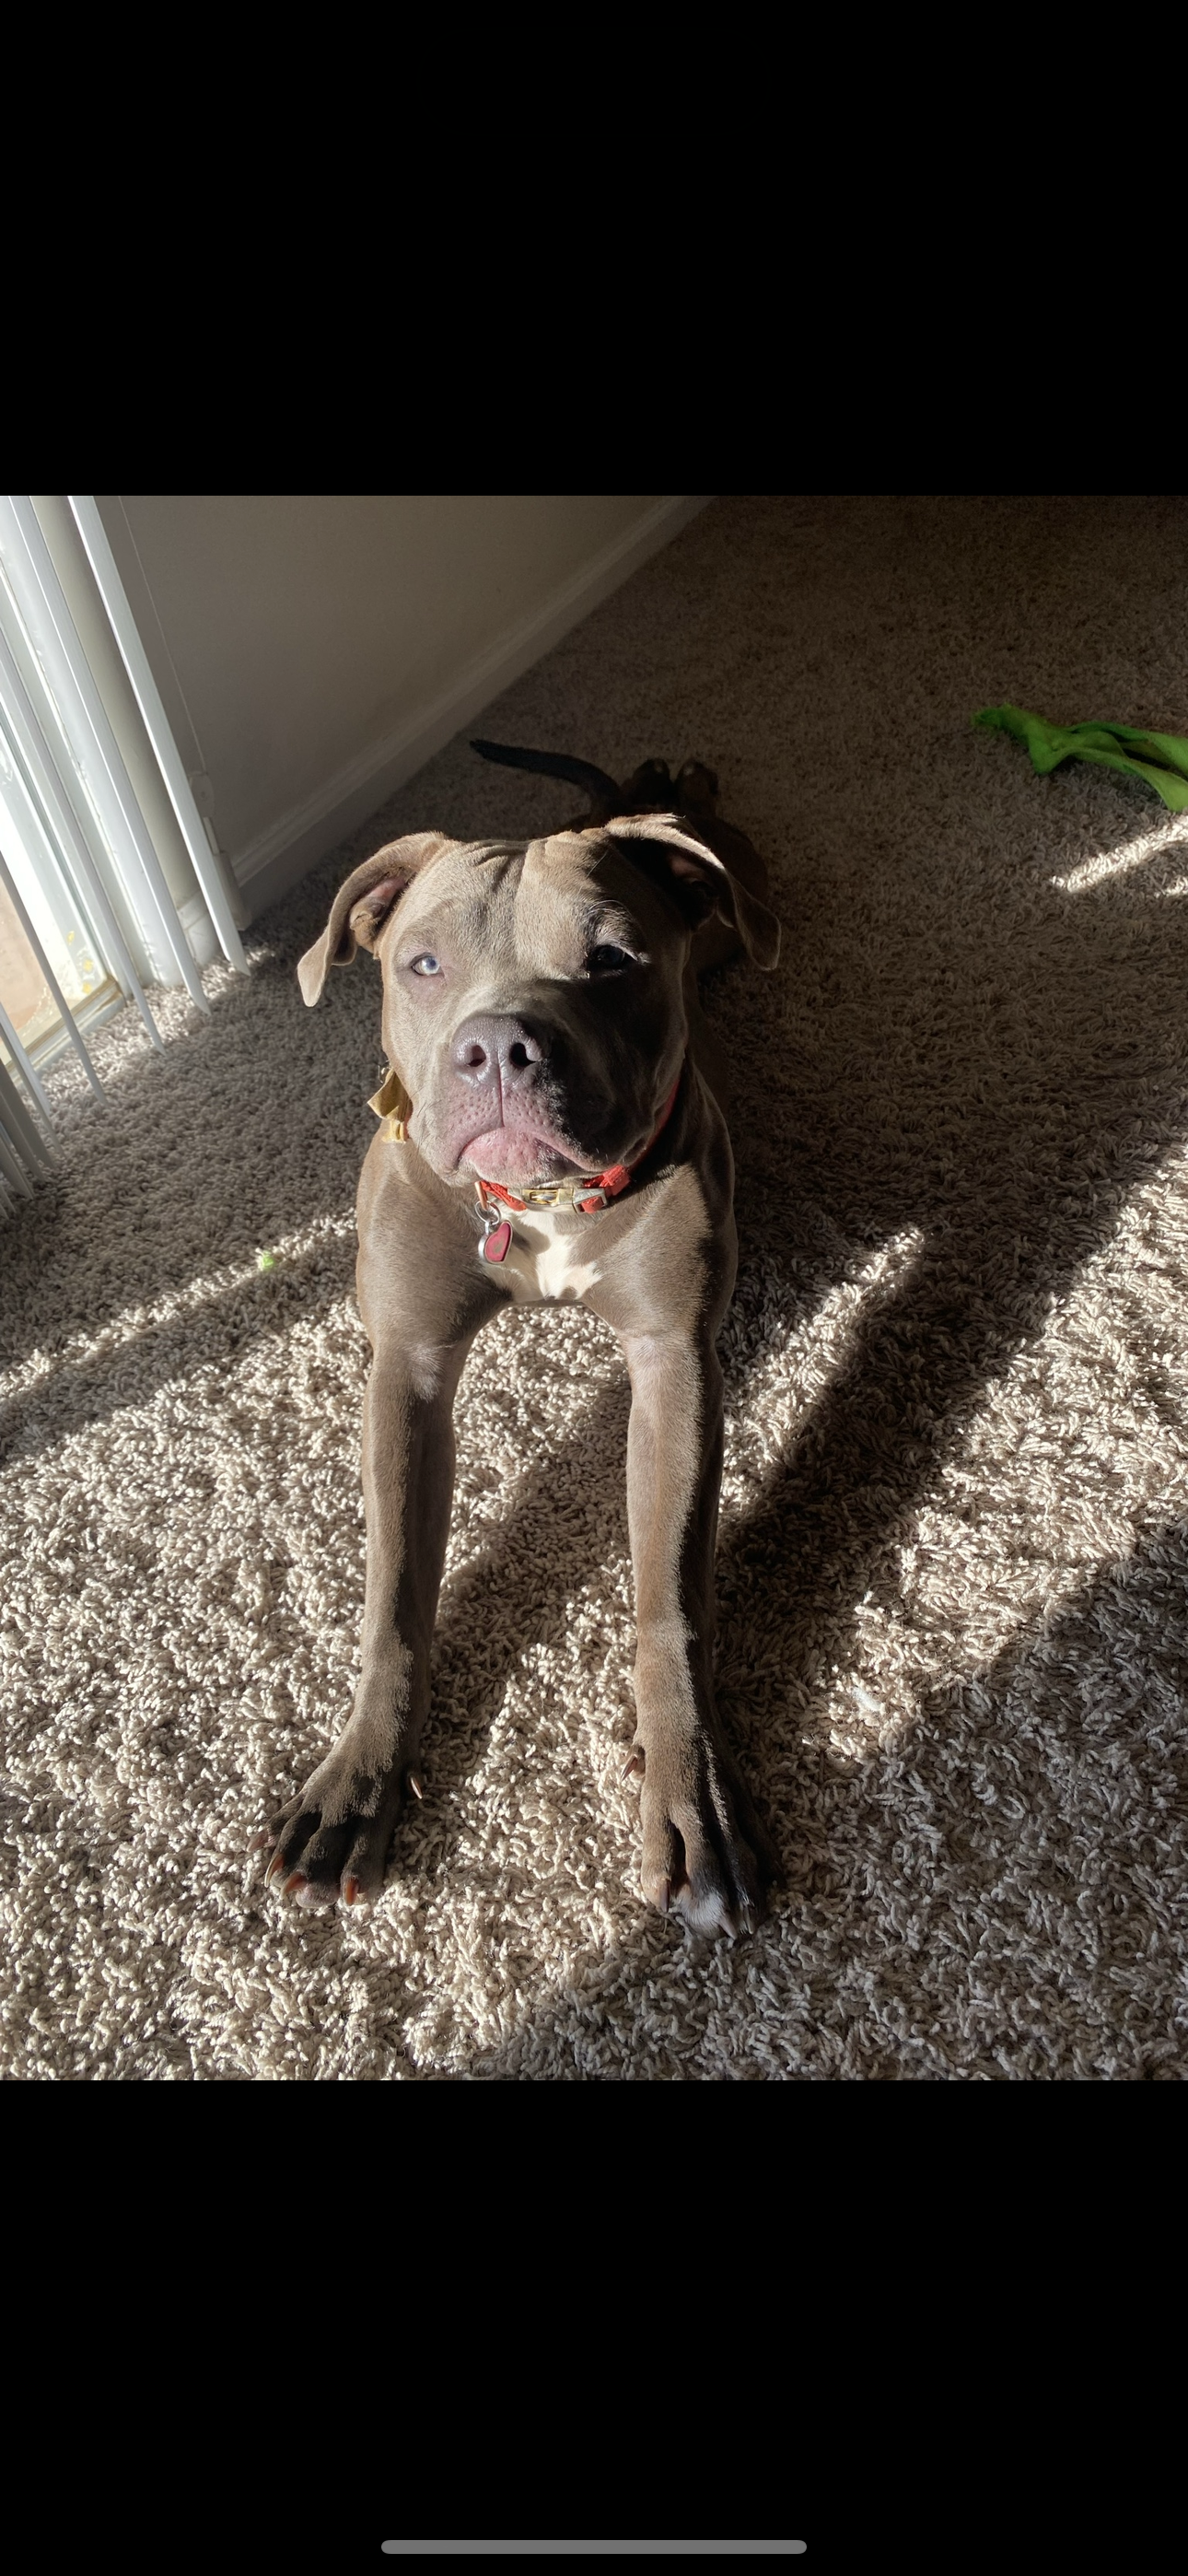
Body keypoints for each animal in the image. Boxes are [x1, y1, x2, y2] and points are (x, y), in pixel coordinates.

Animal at [257, 744, 781, 1936]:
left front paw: (690, 1794)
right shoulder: (405, 1369)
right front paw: (360, 1781)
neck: (534, 1207)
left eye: (614, 959)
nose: (499, 1045)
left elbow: (669, 1602)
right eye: (423, 963)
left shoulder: (674, 1364)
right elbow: (395, 1595)